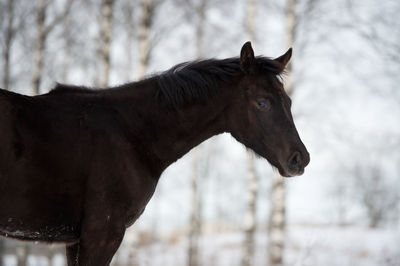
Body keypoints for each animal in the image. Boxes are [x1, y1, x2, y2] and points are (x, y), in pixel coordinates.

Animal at [0, 41, 310, 264]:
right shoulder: (100, 236)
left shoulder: (75, 241)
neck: (131, 133)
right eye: (262, 103)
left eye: (289, 101)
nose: (300, 159)